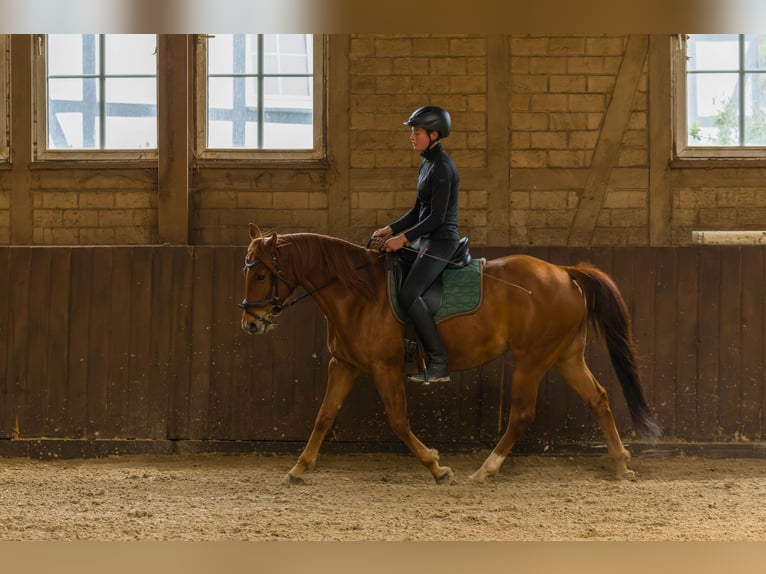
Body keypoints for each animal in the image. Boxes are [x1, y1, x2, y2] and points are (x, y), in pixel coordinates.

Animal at [240, 225, 660, 486]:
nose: (250, 323)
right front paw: (298, 469)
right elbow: (324, 417)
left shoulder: (384, 367)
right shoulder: (344, 365)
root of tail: (563, 271)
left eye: (260, 275)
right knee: (598, 399)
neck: (358, 293)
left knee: (522, 415)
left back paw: (486, 470)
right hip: (565, 356)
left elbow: (398, 422)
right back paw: (621, 465)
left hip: (531, 360)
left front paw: (437, 467)